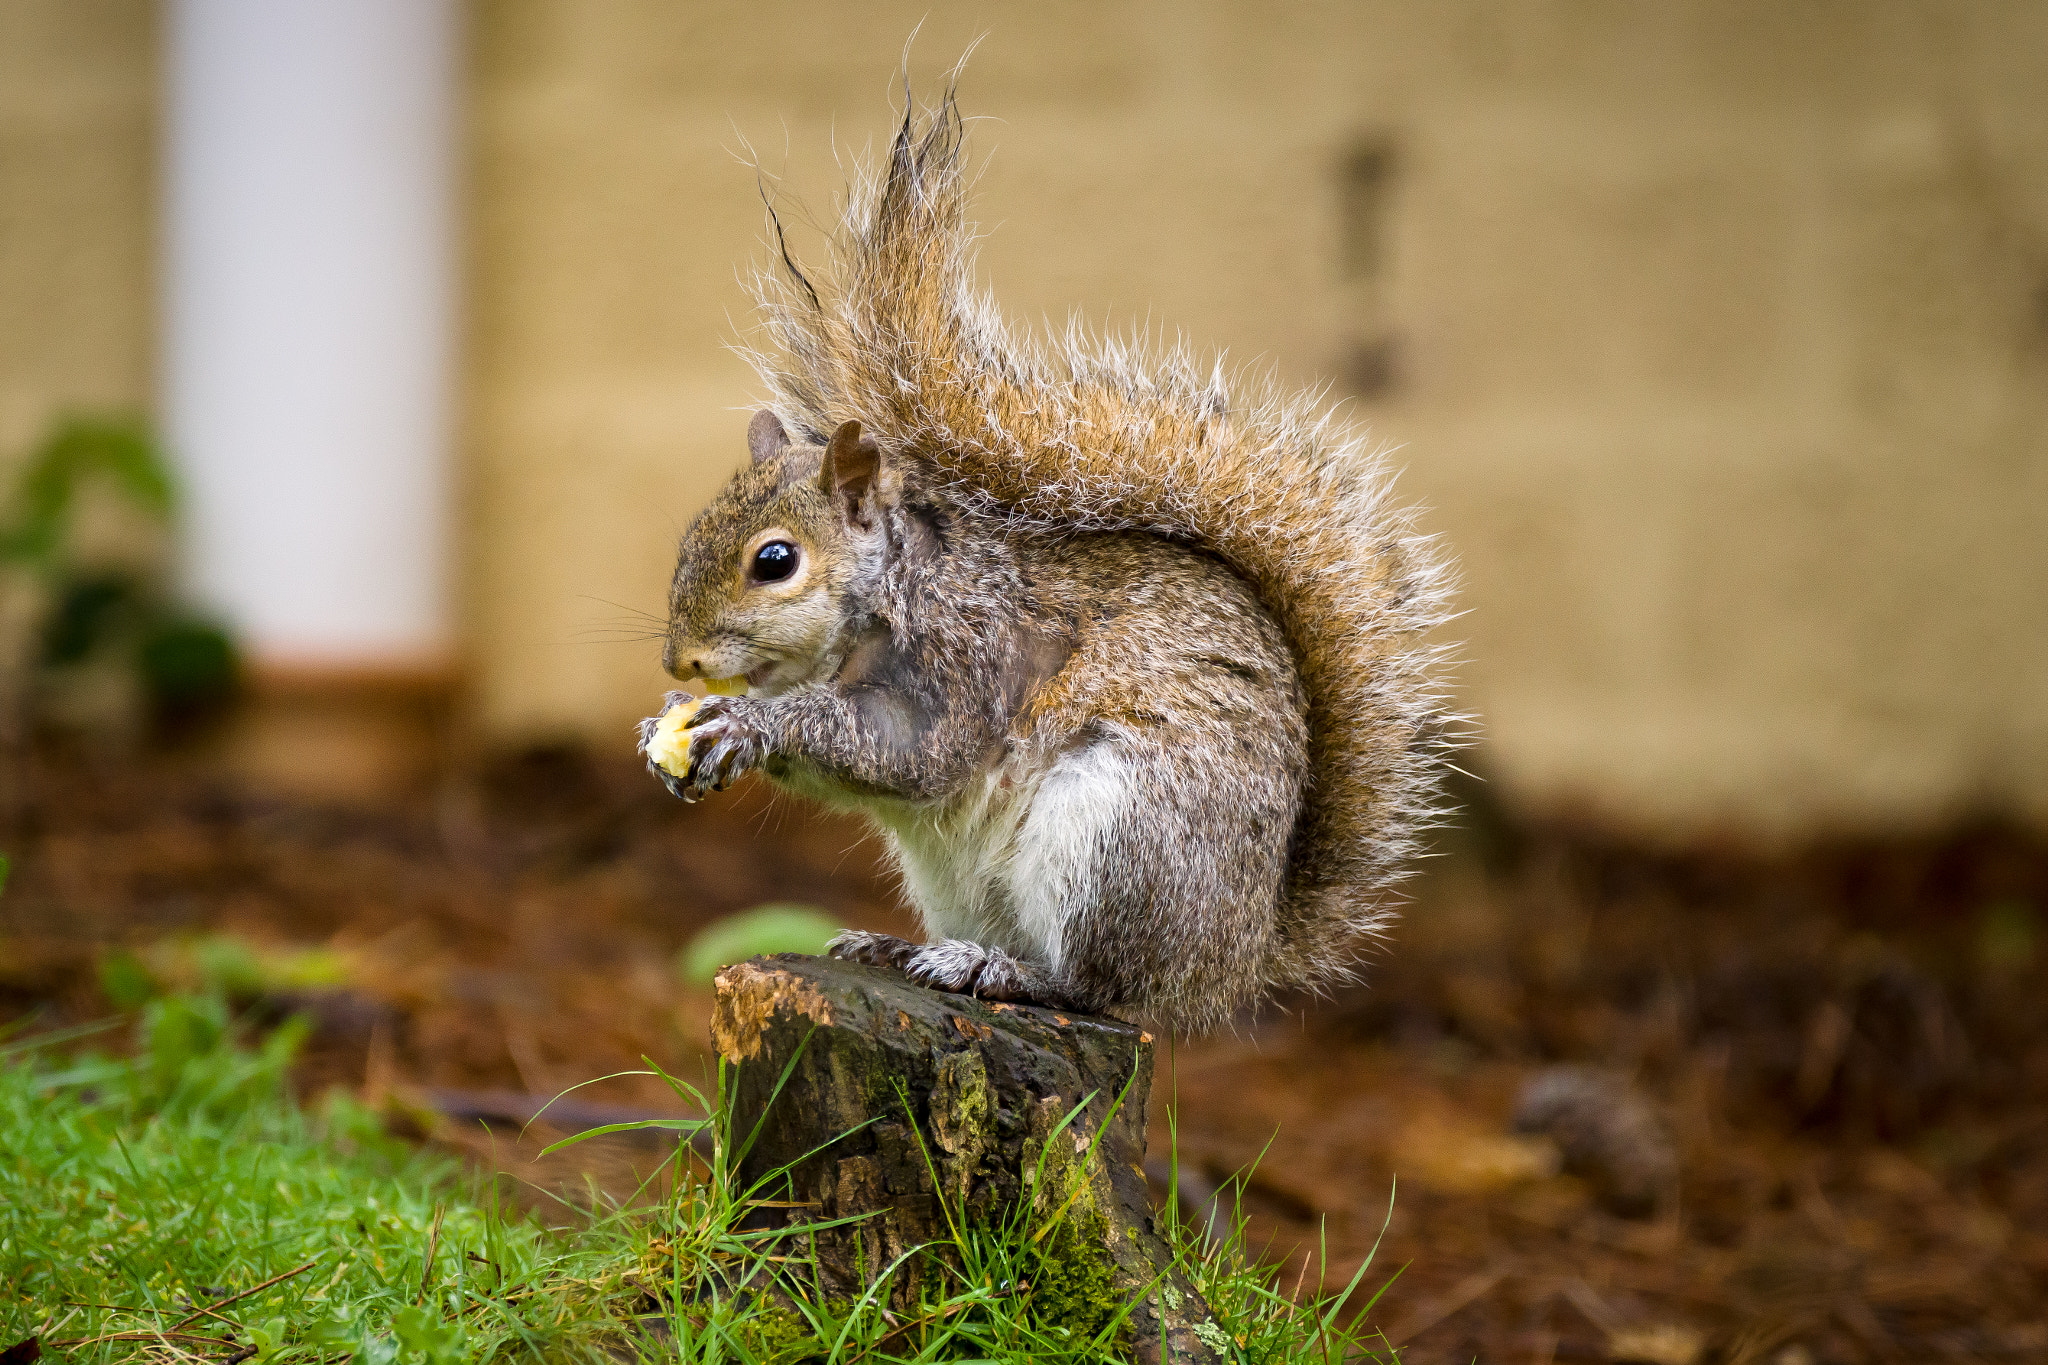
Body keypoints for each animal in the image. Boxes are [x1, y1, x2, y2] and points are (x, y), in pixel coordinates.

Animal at [641, 94, 1455, 1033]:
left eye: (775, 561)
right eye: (690, 534)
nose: (680, 660)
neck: (895, 588)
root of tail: (1234, 959)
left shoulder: (965, 658)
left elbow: (904, 752)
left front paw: (747, 723)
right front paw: (672, 724)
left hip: (1118, 837)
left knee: (1102, 987)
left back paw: (1007, 971)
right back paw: (903, 949)